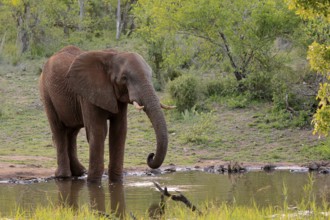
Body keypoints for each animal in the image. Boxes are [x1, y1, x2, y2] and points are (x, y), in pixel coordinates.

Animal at [39, 45, 175, 182]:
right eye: (124, 78)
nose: (151, 155)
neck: (112, 56)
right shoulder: (88, 94)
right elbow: (98, 131)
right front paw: (93, 182)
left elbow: (119, 131)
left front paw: (116, 181)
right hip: (46, 93)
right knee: (59, 130)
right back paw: (63, 176)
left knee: (72, 132)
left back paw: (79, 172)